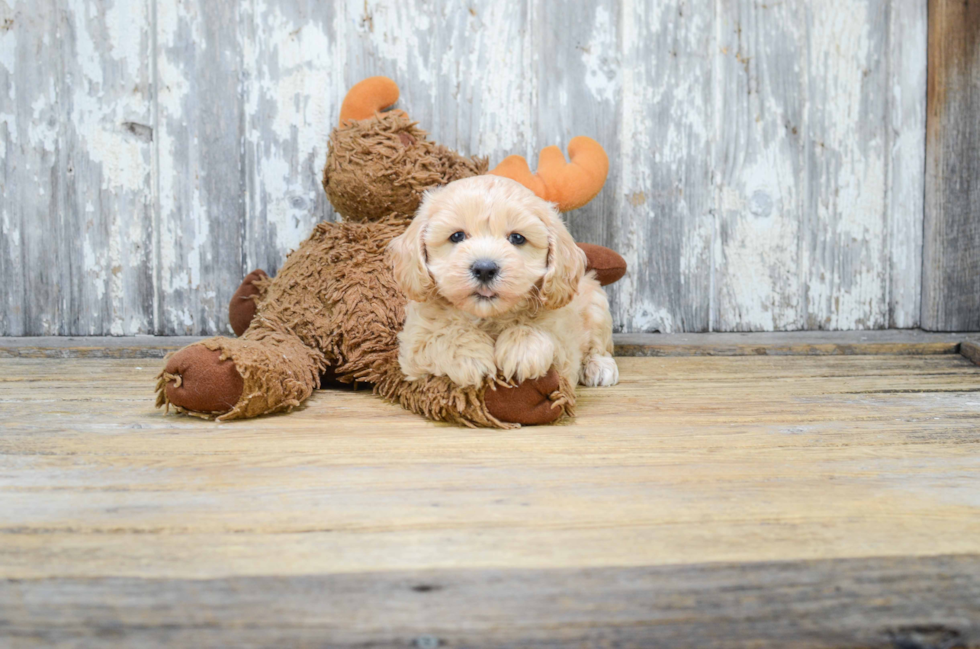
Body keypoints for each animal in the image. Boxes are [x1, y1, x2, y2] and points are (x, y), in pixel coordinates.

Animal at [386, 172, 616, 392]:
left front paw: (522, 349)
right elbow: (442, 336)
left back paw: (600, 366)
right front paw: (472, 355)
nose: (484, 269)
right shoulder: (413, 344)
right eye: (457, 236)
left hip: (595, 302)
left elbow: (542, 333)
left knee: (599, 344)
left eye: (517, 238)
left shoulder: (565, 346)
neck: (489, 317)